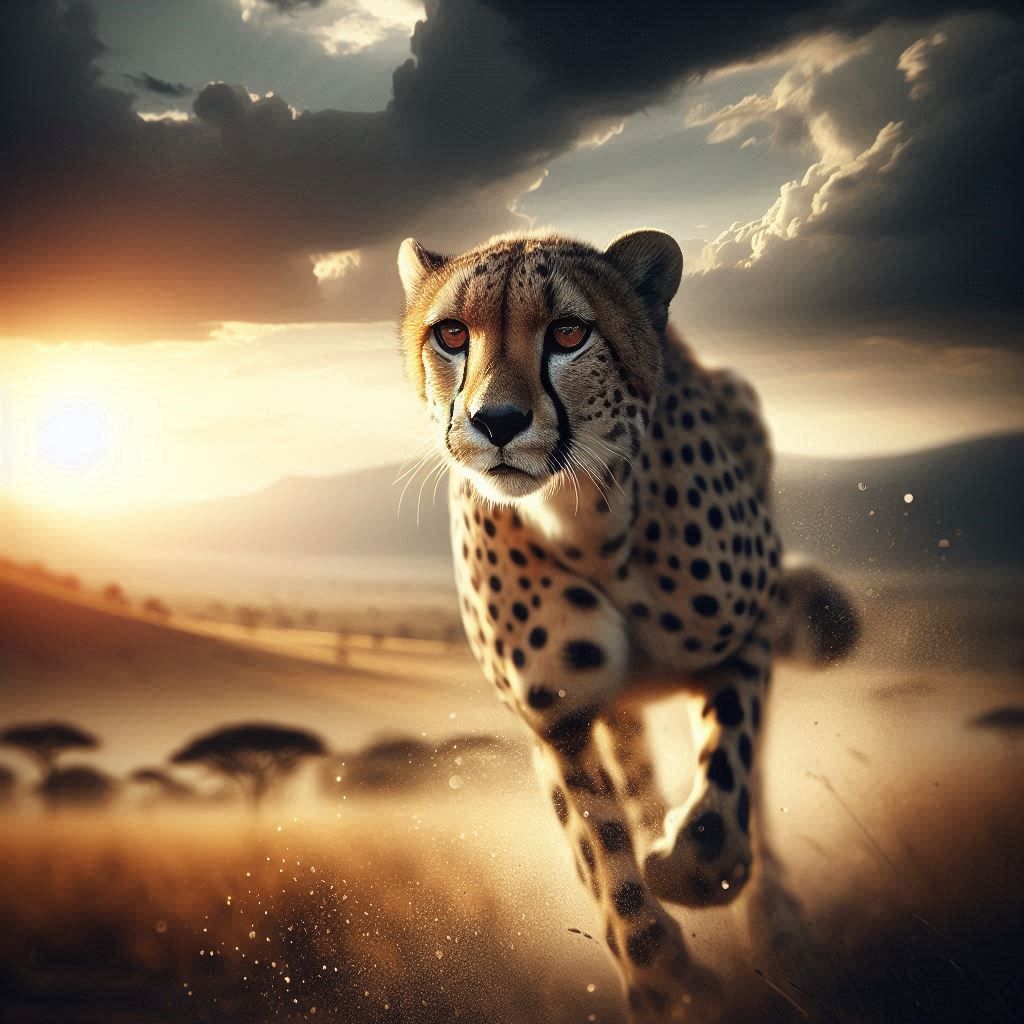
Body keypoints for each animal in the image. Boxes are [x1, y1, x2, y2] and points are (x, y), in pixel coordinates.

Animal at [396, 228, 860, 1022]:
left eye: (568, 333)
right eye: (451, 334)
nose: (497, 422)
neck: (583, 512)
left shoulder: (744, 634)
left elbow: (726, 786)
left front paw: (693, 866)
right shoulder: (557, 716)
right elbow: (602, 855)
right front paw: (664, 979)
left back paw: (778, 926)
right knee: (635, 779)